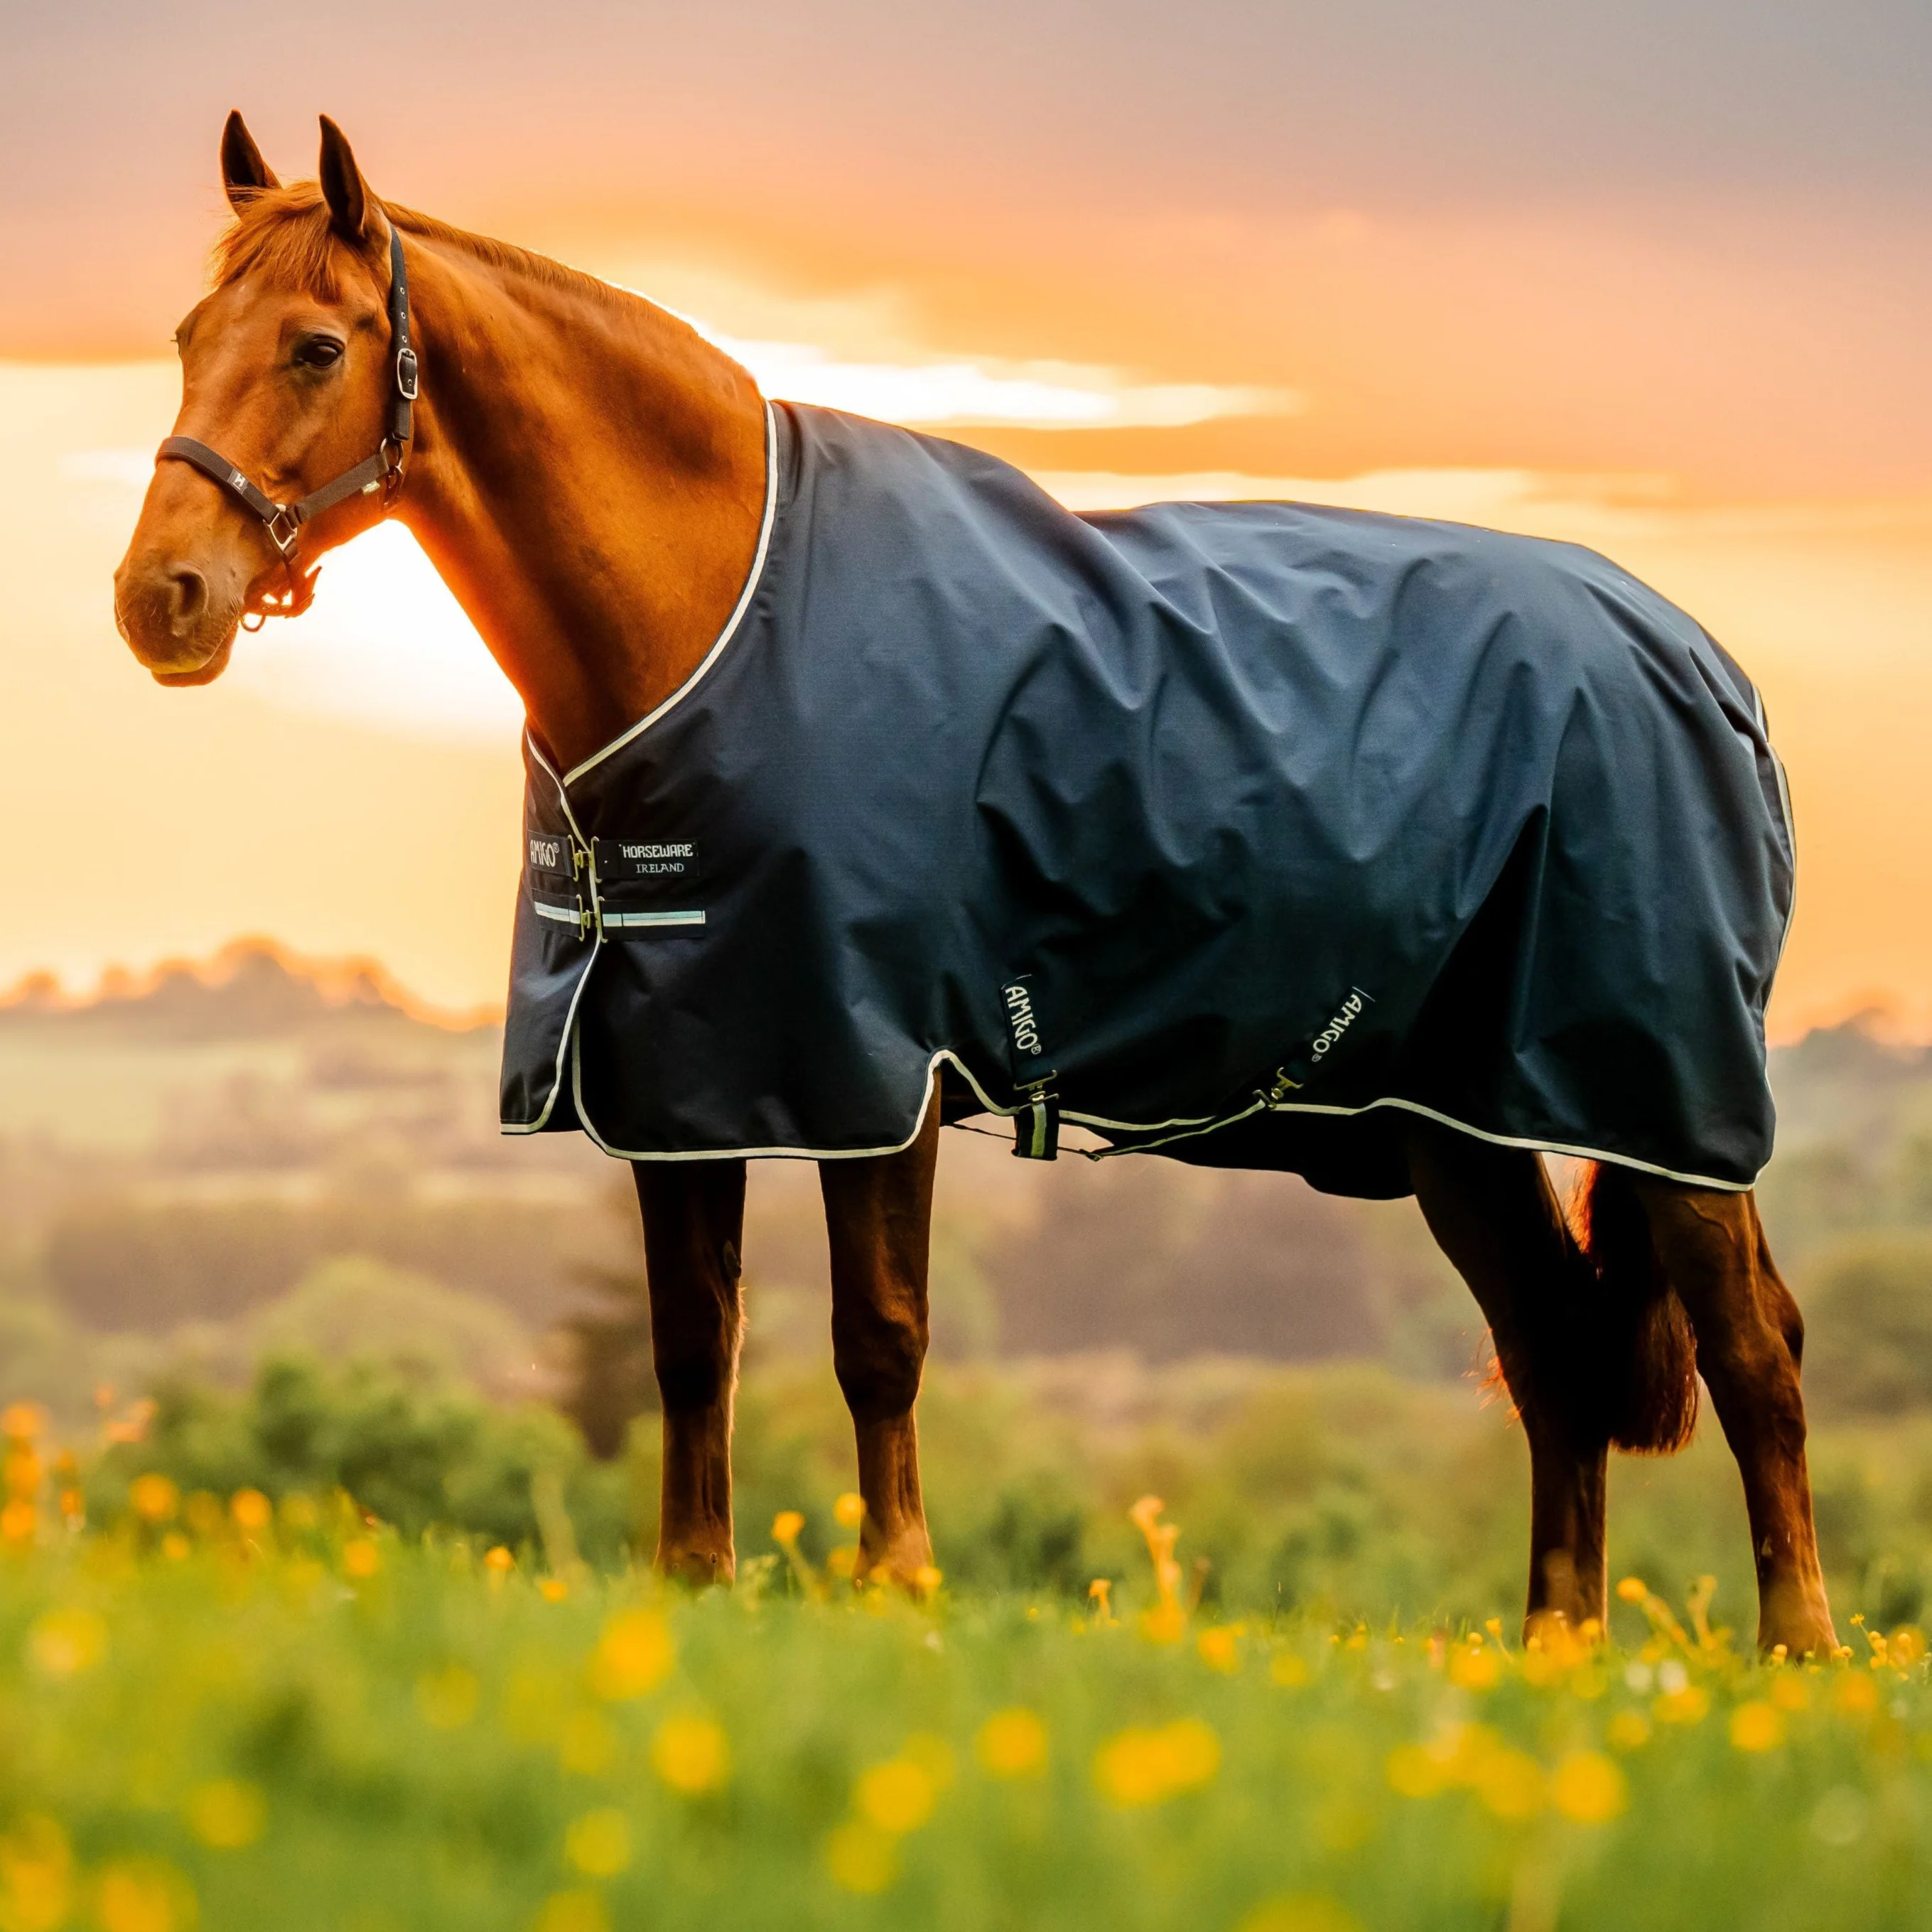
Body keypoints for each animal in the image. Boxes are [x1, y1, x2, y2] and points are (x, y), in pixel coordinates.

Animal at [114, 113, 1838, 1656]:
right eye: (190, 332)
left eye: (318, 346)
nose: (159, 598)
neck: (719, 616)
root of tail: (1704, 664)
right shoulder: (683, 1074)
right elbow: (692, 1345)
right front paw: (695, 1584)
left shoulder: (872, 1066)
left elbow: (878, 1339)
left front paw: (899, 1588)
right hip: (1452, 1122)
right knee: (1551, 1350)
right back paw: (1557, 1650)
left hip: (1664, 1098)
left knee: (1753, 1349)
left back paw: (1799, 1654)